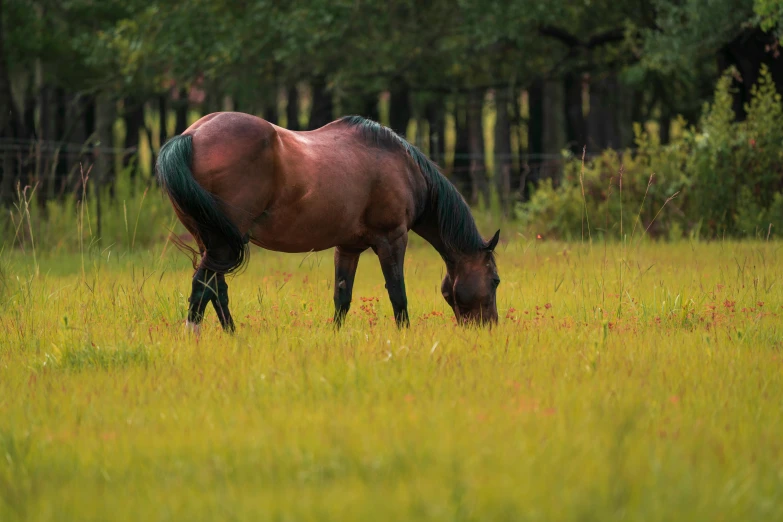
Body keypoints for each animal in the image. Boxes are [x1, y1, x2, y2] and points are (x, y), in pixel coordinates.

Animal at [156, 112, 502, 332]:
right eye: (496, 280)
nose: (490, 329)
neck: (404, 167)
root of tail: (191, 136)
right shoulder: (392, 239)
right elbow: (398, 293)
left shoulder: (347, 247)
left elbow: (342, 297)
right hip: (222, 243)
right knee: (203, 286)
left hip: (213, 241)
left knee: (216, 289)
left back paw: (233, 336)